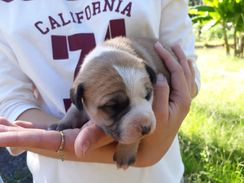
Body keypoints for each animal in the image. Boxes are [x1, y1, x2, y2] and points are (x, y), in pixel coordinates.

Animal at [49, 36, 170, 169]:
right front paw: (62, 124)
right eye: (113, 106)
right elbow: (73, 110)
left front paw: (125, 153)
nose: (146, 128)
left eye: (148, 95)